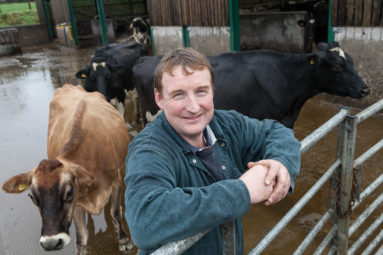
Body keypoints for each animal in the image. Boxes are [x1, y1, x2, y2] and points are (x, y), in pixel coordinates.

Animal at [1, 84, 134, 254]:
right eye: (32, 197)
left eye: (69, 192)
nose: (50, 243)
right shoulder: (77, 203)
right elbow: (81, 238)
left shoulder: (116, 180)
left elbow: (116, 212)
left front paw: (123, 240)